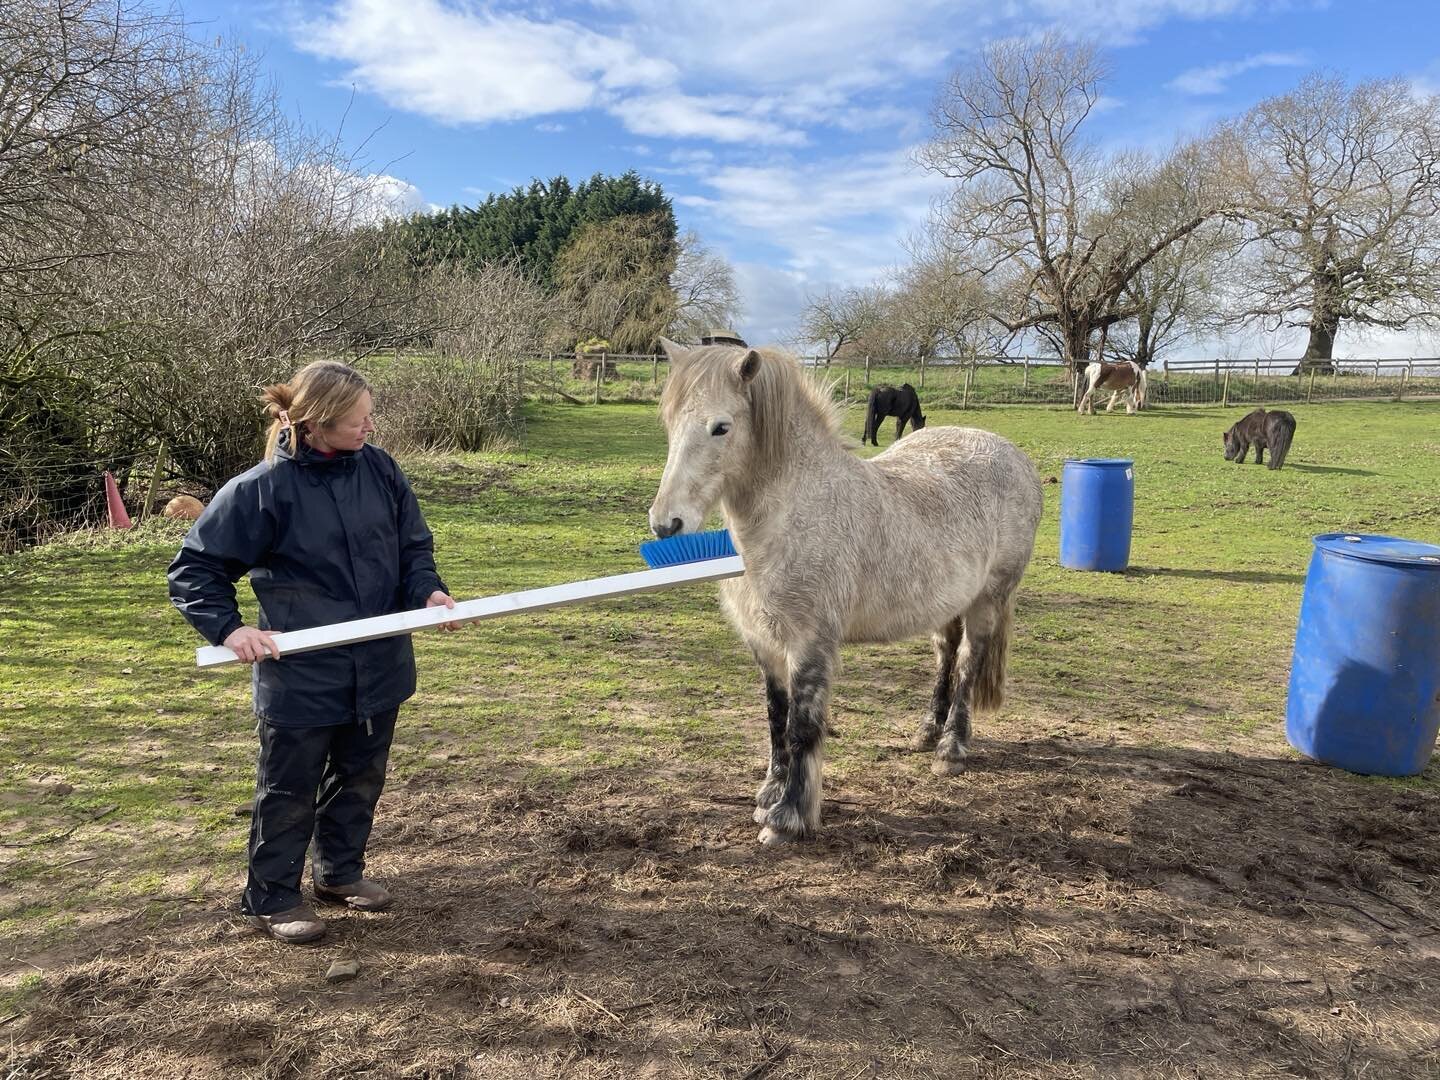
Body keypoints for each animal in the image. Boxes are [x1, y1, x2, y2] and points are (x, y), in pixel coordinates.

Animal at [648, 342, 1042, 852]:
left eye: (721, 427)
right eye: (670, 423)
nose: (666, 524)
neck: (794, 514)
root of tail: (1014, 456)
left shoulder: (810, 644)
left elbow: (801, 727)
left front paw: (787, 817)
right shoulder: (766, 645)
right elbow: (775, 718)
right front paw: (769, 792)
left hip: (988, 601)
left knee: (969, 664)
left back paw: (950, 750)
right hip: (947, 604)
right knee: (946, 656)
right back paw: (925, 732)